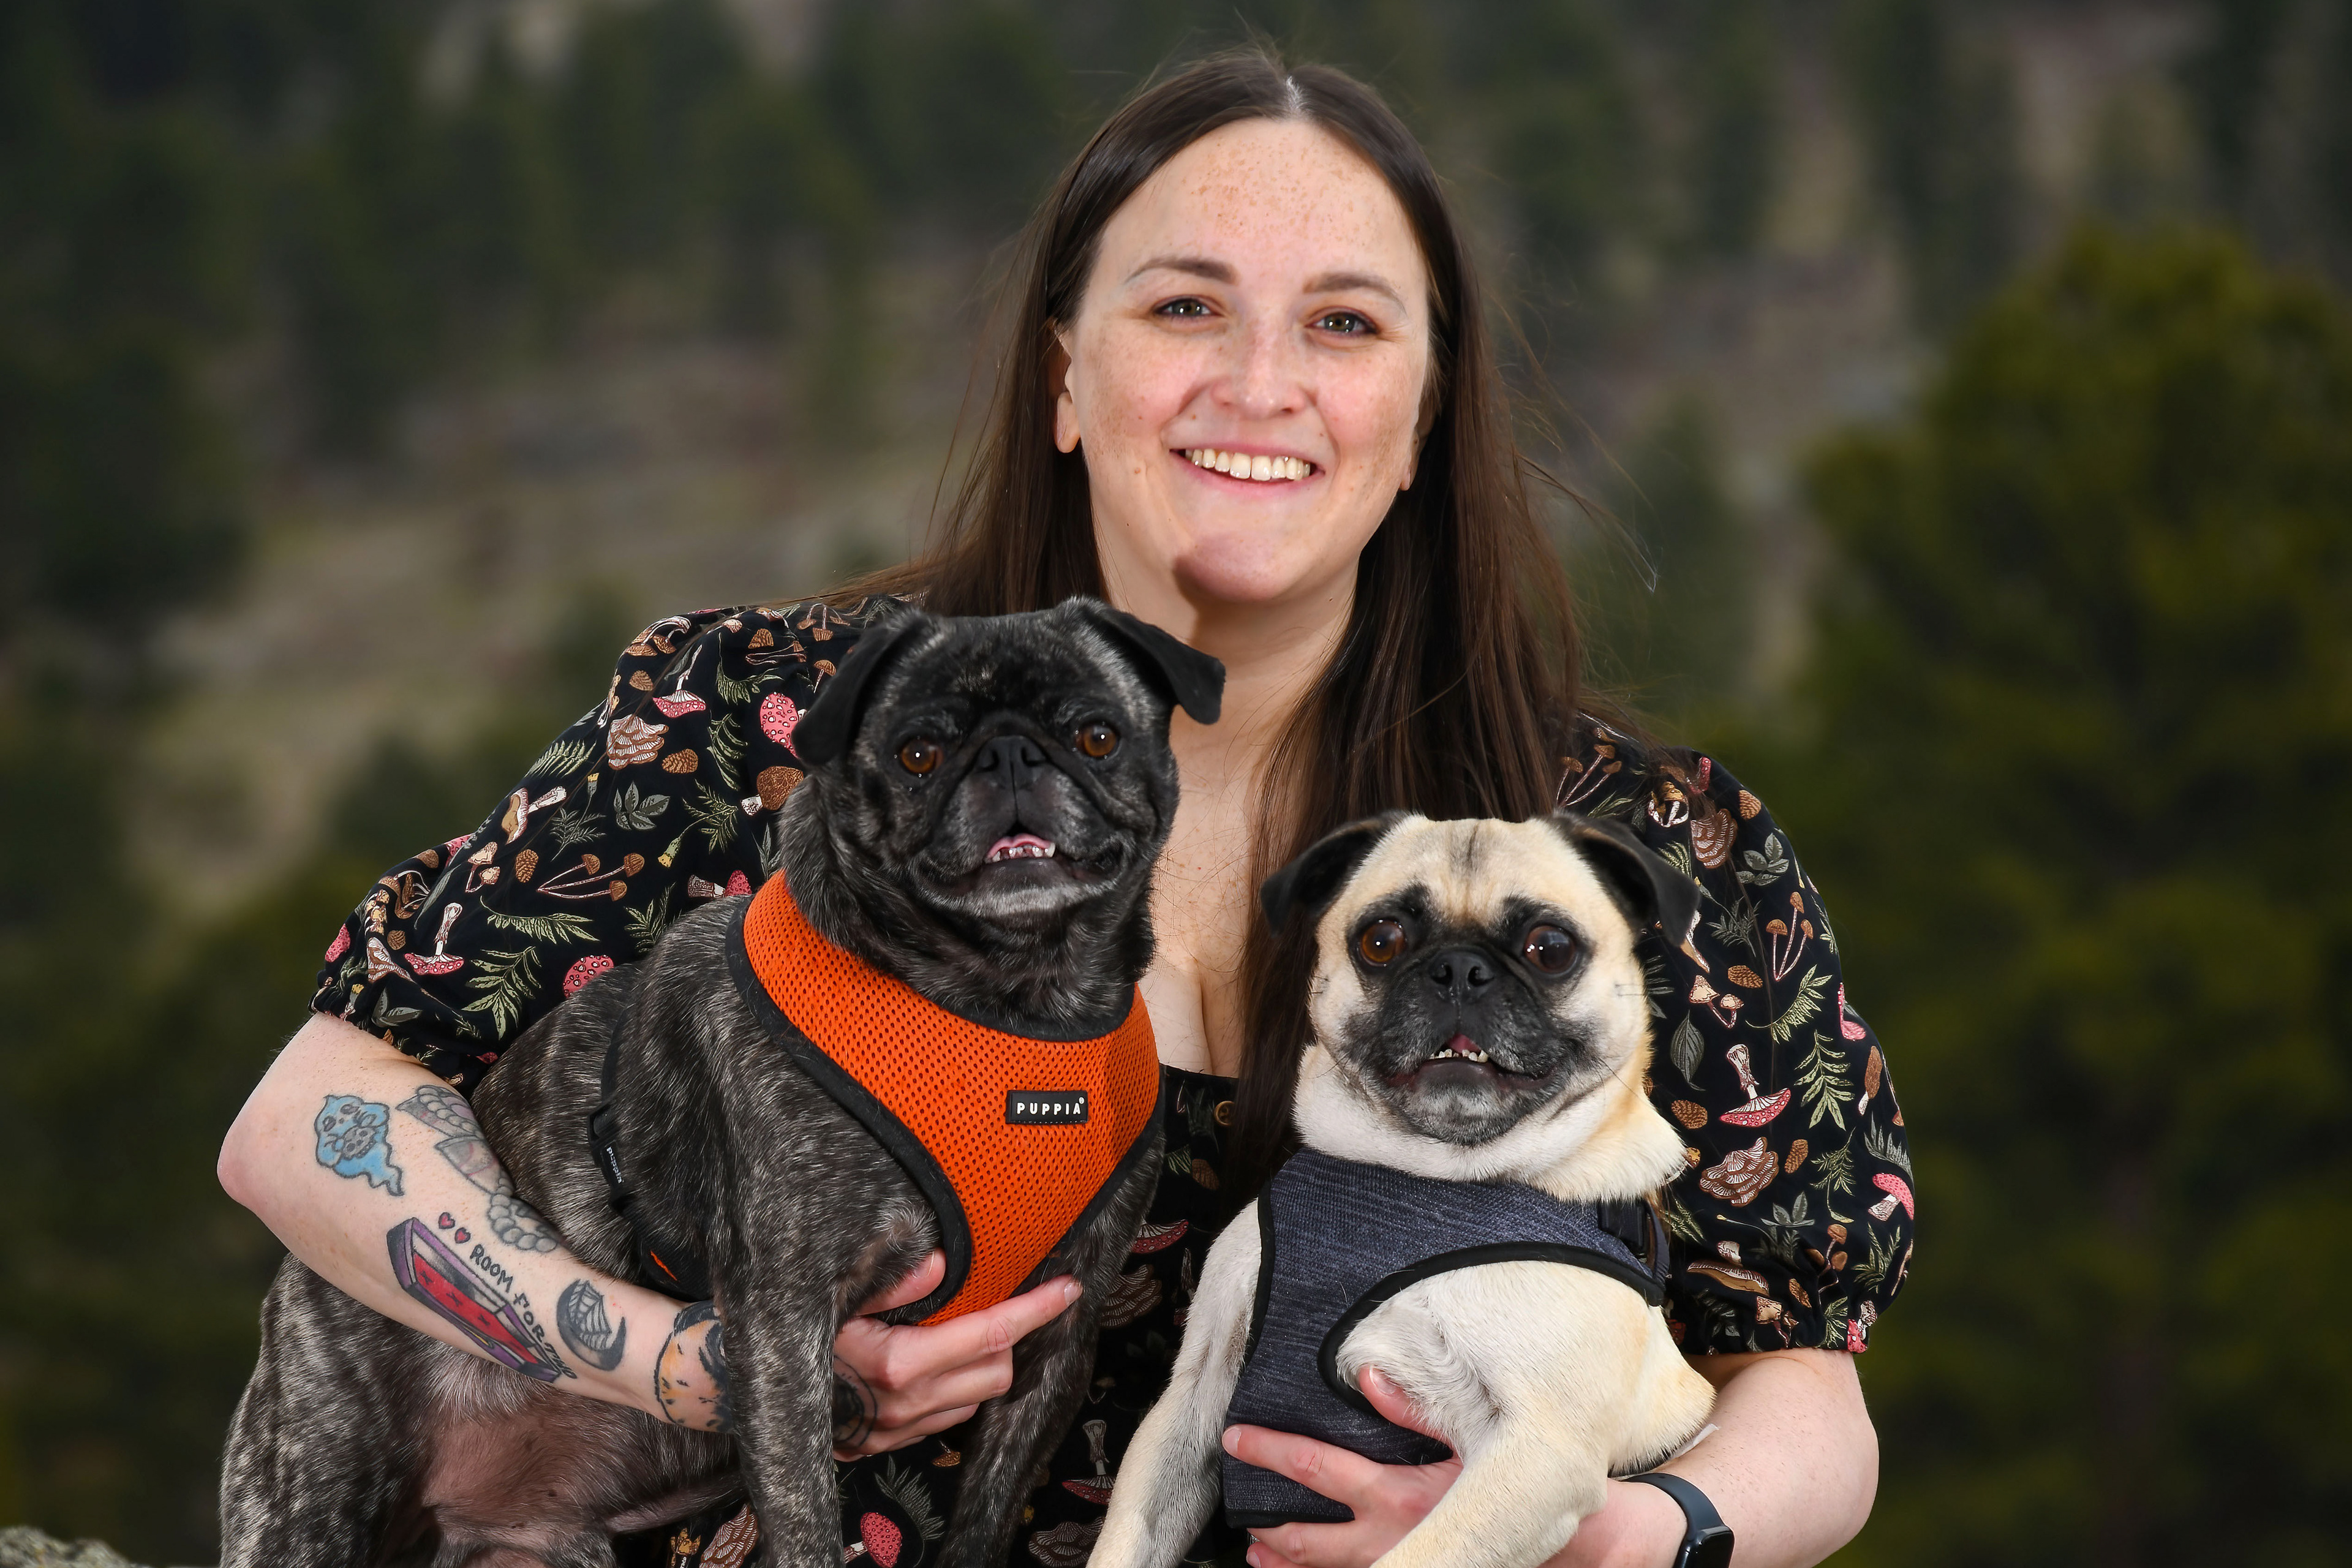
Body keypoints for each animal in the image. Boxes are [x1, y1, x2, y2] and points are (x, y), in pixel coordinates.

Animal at [220, 597, 1223, 1568]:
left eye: (1098, 735)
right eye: (918, 753)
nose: (1011, 754)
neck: (1012, 1002)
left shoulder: (1054, 1344)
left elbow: (984, 1516)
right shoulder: (787, 1331)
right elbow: (809, 1525)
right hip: (313, 1501)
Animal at [1093, 811, 1716, 1568]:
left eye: (1550, 949)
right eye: (1381, 941)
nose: (1460, 971)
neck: (1425, 1173)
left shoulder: (1539, 1455)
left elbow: (1414, 1556)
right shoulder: (1190, 1405)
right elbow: (1128, 1538)